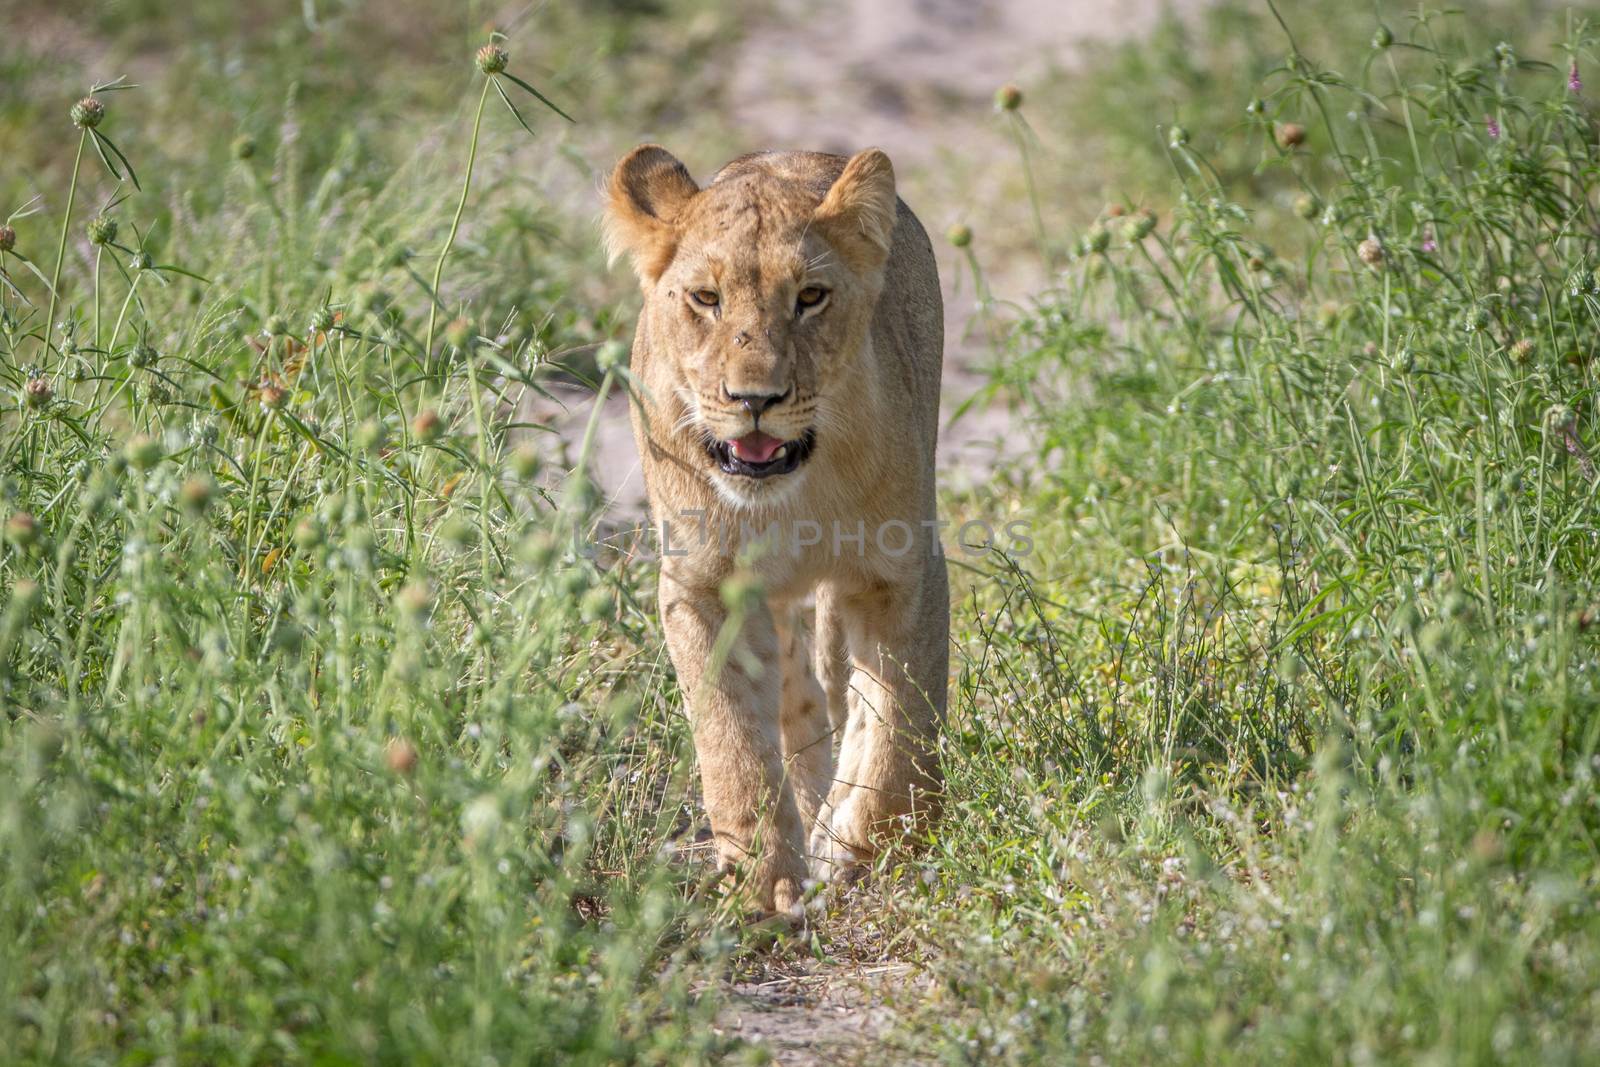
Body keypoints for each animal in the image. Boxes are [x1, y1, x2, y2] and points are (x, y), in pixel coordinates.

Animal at [604, 146, 940, 921]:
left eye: (810, 297)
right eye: (706, 298)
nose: (754, 399)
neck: (789, 495)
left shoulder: (903, 571)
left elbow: (900, 726)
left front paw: (868, 853)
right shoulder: (700, 585)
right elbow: (731, 735)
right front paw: (766, 884)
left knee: (843, 696)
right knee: (797, 700)